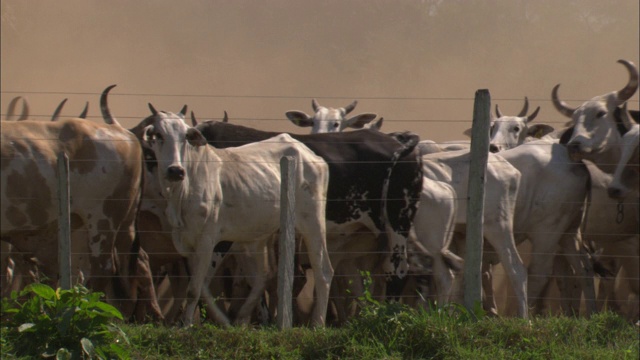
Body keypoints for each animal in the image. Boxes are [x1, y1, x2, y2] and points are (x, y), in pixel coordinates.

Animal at [141, 106, 336, 326]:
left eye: (185, 136)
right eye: (158, 135)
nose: (175, 170)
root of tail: (310, 154)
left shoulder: (208, 240)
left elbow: (194, 289)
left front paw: (187, 324)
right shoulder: (187, 244)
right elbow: (201, 287)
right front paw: (221, 320)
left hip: (312, 222)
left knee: (323, 271)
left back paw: (317, 322)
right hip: (260, 234)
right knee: (263, 276)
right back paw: (244, 316)